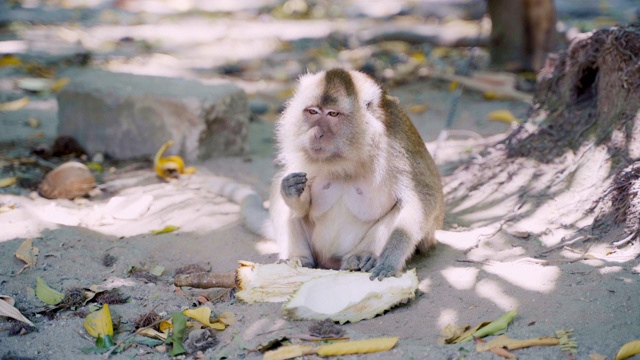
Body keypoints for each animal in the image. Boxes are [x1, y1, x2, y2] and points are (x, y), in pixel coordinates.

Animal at [264, 69, 444, 280]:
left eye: (333, 114)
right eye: (313, 111)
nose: (316, 133)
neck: (353, 152)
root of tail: (330, 261)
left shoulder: (397, 148)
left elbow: (423, 200)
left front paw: (390, 261)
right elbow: (296, 200)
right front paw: (291, 191)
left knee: (401, 206)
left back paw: (362, 257)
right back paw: (299, 259)